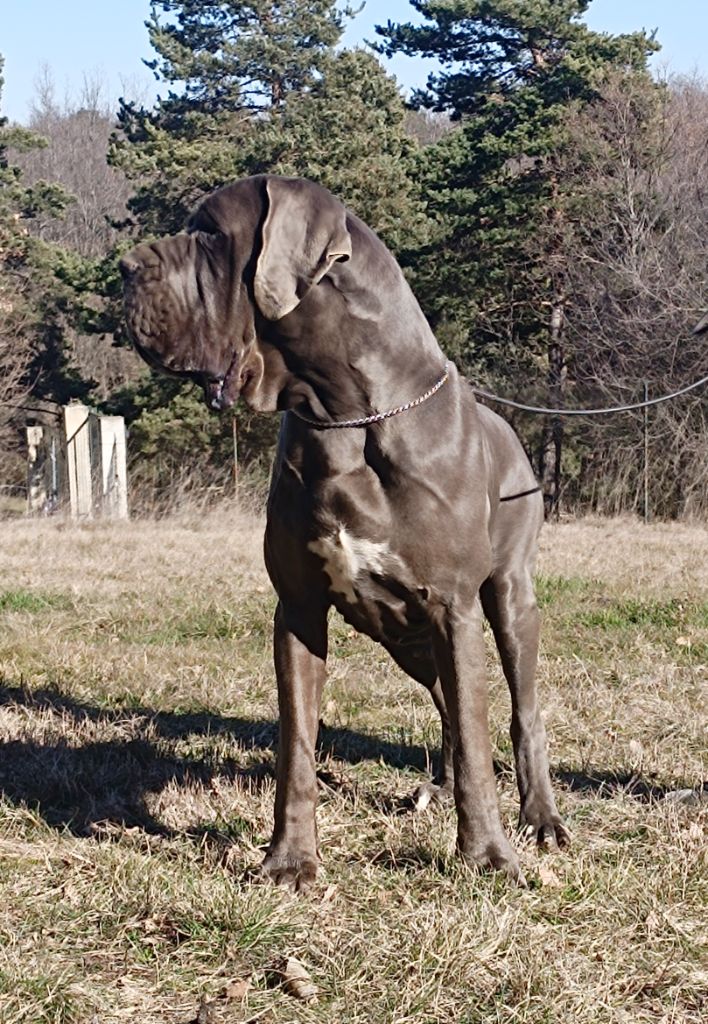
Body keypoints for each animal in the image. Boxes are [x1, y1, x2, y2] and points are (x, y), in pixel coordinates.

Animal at [118, 174, 569, 888]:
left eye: (211, 233)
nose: (125, 268)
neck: (344, 413)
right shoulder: (299, 608)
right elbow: (297, 744)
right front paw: (289, 860)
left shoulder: (453, 606)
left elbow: (479, 737)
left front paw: (489, 858)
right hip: (410, 641)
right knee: (446, 703)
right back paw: (436, 790)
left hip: (507, 602)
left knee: (520, 711)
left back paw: (541, 818)